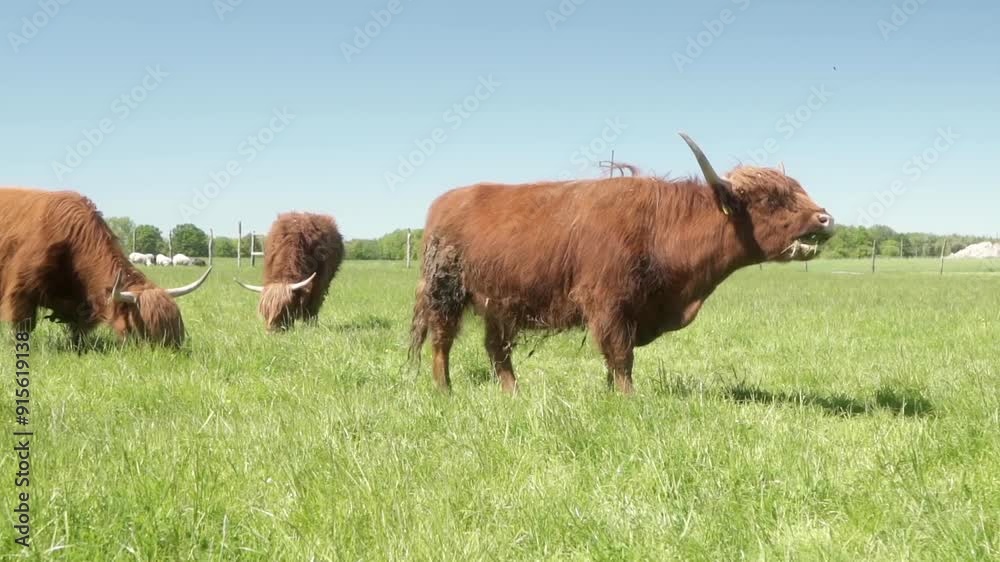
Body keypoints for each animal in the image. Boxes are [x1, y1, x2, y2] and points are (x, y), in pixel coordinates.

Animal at [0, 188, 212, 347]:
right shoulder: (21, 293)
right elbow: (23, 326)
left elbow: (79, 331)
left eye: (176, 325)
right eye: (146, 329)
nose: (174, 351)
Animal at [409, 133, 835, 394]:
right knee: (442, 341)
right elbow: (620, 356)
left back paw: (513, 392)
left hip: (499, 303)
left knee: (496, 348)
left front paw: (611, 392)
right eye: (770, 201)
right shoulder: (607, 304)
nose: (825, 218)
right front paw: (628, 398)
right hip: (446, 293)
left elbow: (617, 359)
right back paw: (445, 390)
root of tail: (445, 201)